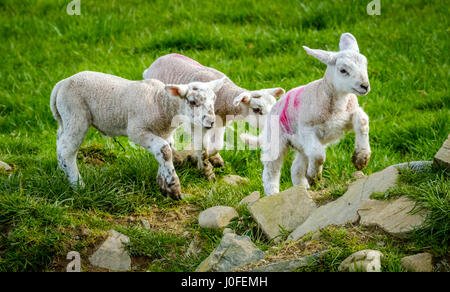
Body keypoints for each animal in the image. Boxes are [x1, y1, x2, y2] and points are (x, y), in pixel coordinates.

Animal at [50, 71, 224, 200]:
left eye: (214, 99)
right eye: (193, 102)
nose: (211, 122)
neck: (159, 102)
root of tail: (61, 84)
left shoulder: (164, 133)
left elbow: (164, 152)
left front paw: (163, 182)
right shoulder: (137, 130)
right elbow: (164, 150)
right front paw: (173, 187)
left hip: (64, 118)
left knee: (60, 142)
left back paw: (61, 170)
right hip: (76, 114)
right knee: (68, 151)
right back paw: (78, 185)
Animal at [142, 53, 284, 179]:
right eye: (256, 109)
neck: (226, 96)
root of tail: (153, 65)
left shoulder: (220, 123)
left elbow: (217, 145)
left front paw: (211, 158)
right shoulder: (199, 124)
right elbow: (202, 147)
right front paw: (201, 164)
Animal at [243, 33, 372, 195]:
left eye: (365, 65)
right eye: (343, 70)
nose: (365, 86)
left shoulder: (347, 117)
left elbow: (362, 120)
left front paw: (361, 158)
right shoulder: (306, 129)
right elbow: (319, 155)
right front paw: (315, 177)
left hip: (301, 146)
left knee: (296, 168)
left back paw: (302, 188)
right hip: (276, 139)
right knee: (271, 170)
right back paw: (274, 193)